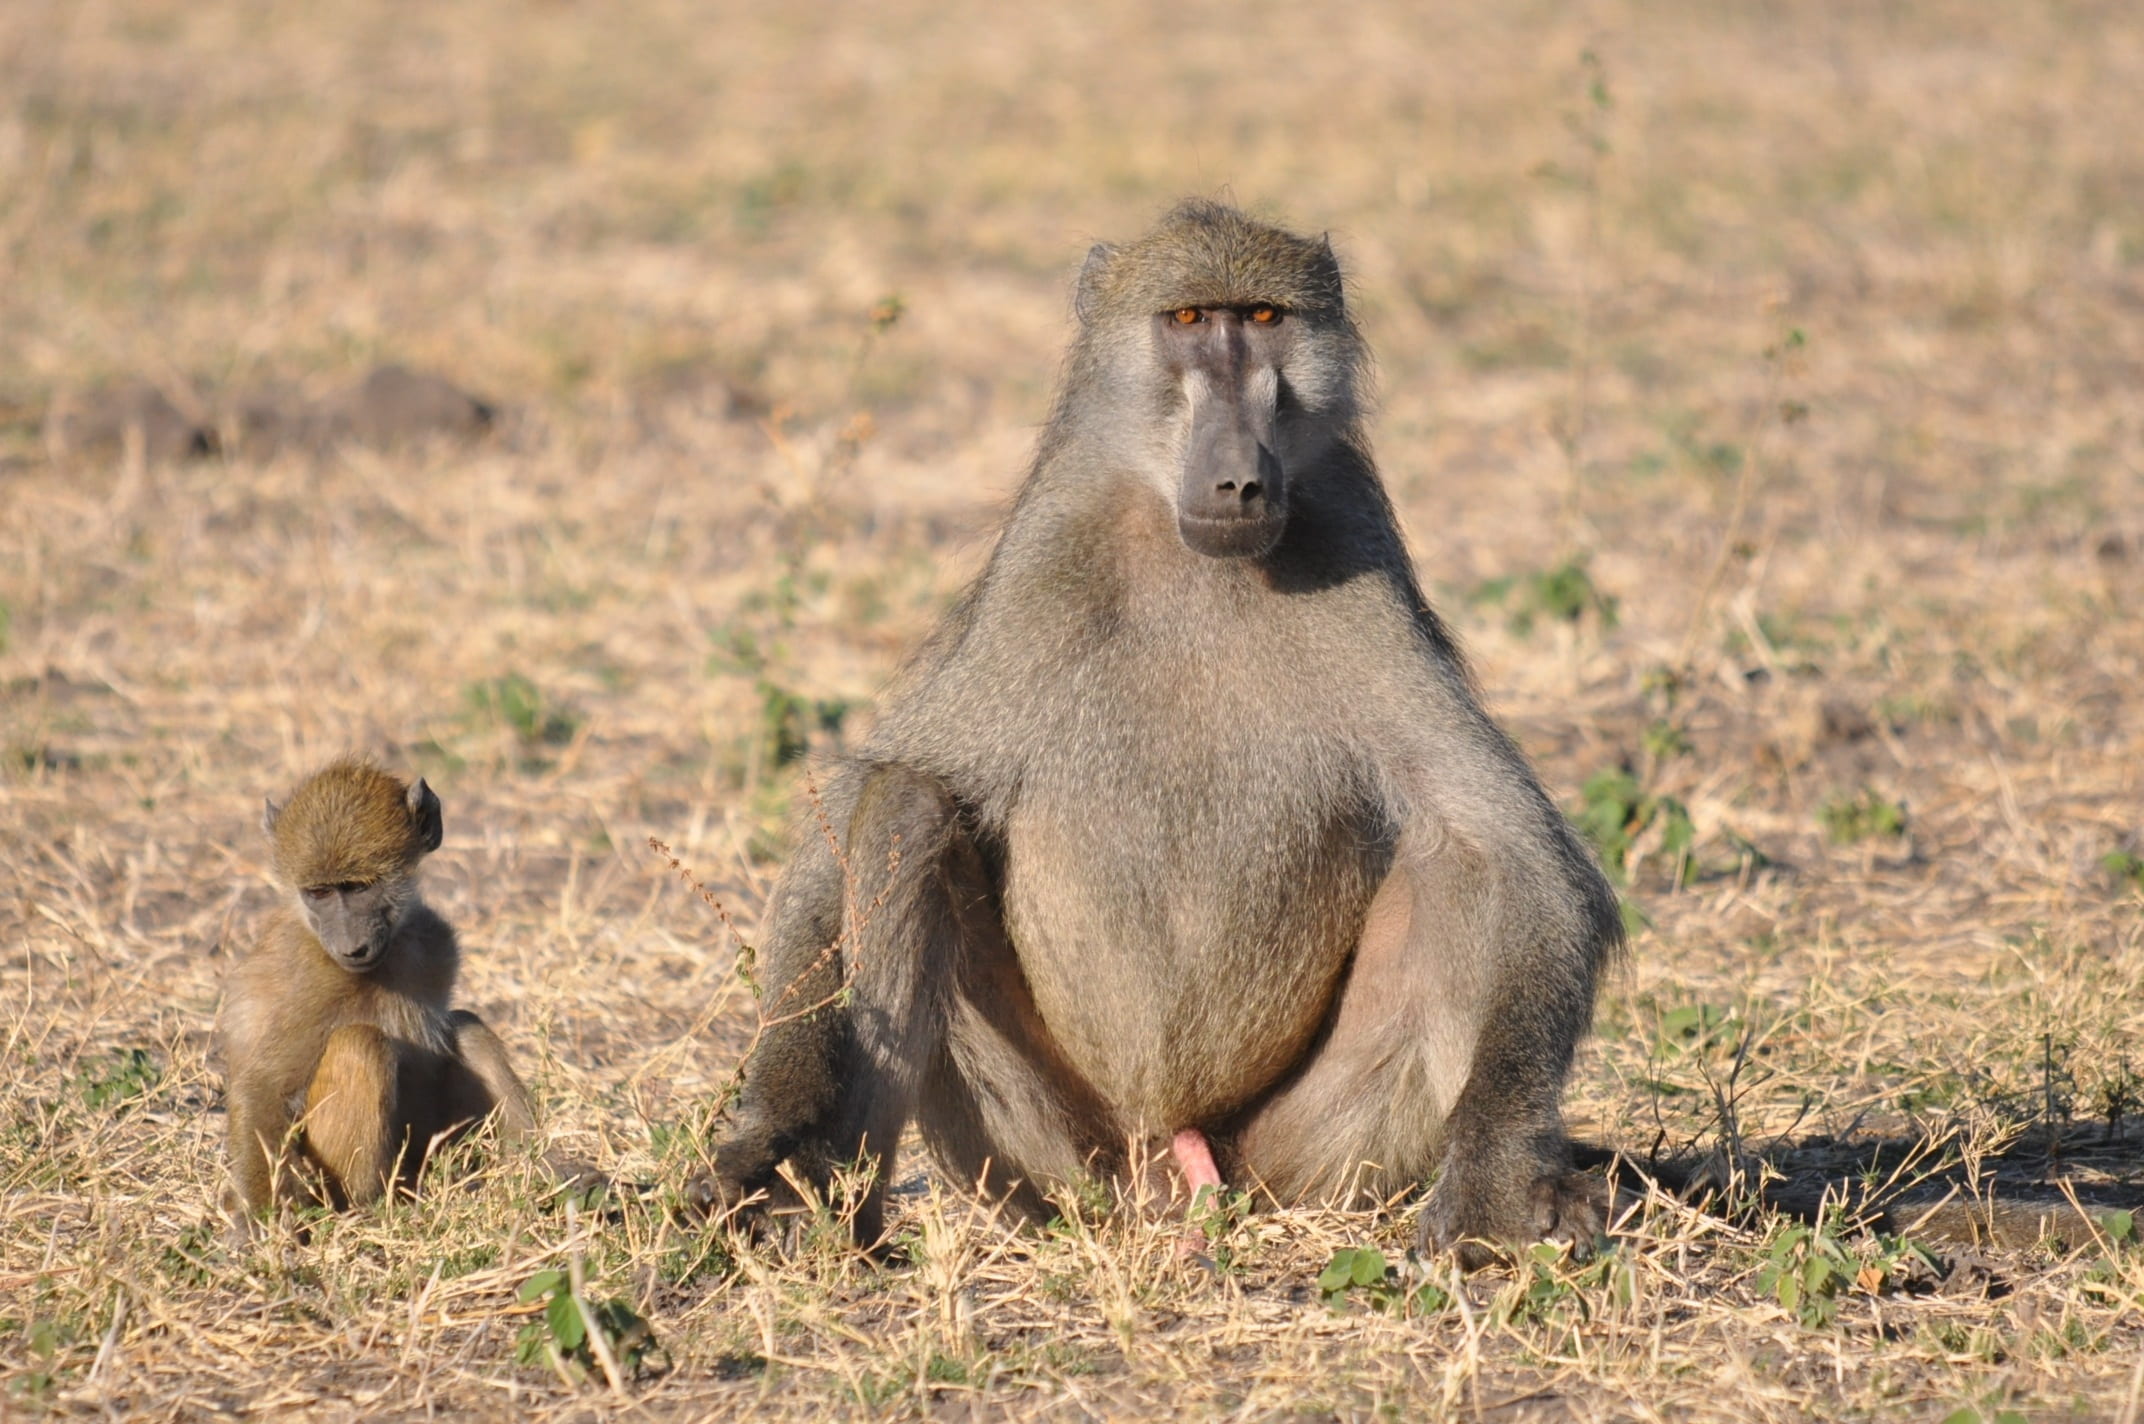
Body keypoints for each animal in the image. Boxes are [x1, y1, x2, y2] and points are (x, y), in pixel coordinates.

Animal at [218, 757, 535, 1230]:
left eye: (359, 887)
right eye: (319, 893)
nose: (352, 947)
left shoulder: (434, 941)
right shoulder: (313, 976)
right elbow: (265, 1086)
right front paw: (256, 1225)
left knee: (466, 1027)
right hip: (325, 1178)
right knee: (362, 1043)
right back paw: (371, 1209)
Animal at [696, 200, 1624, 1267]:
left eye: (1264, 317)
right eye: (1186, 321)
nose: (1238, 480)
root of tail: (1166, 1171)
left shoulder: (1359, 563)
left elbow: (1523, 854)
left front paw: (1500, 1182)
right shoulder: (1043, 567)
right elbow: (857, 809)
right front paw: (773, 1135)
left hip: (1303, 1160)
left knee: (1461, 862)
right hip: (1048, 1157)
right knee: (906, 808)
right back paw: (835, 1212)